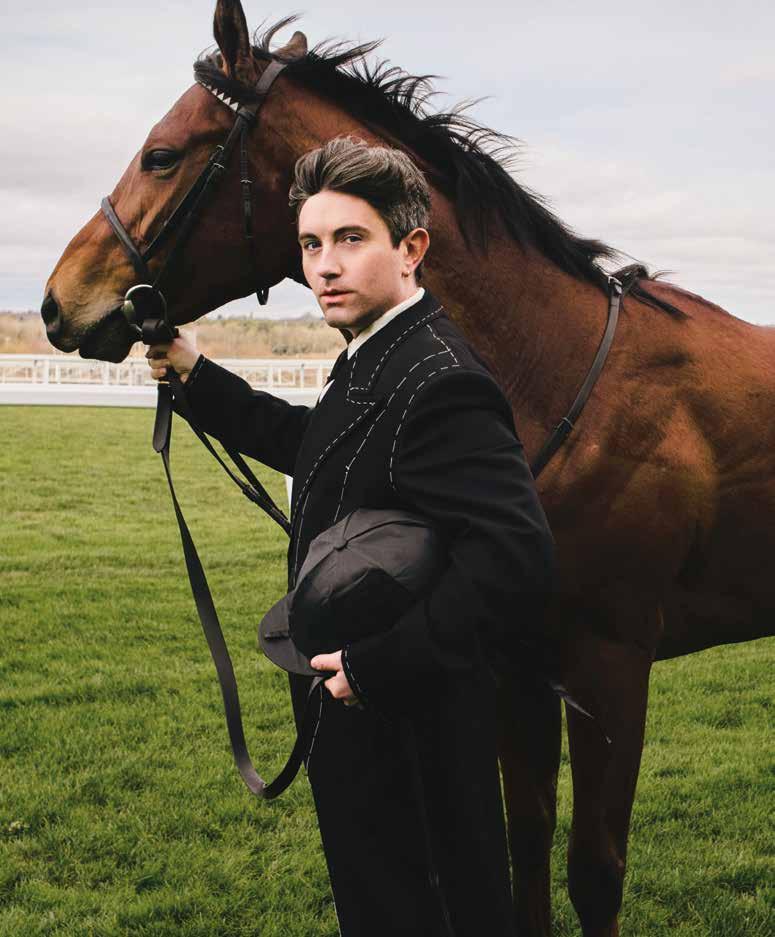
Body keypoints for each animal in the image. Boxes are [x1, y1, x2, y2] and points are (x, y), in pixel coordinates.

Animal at [41, 3, 775, 935]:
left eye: (162, 154)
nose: (57, 302)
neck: (555, 375)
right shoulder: (515, 662)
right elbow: (526, 843)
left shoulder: (610, 664)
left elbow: (593, 870)